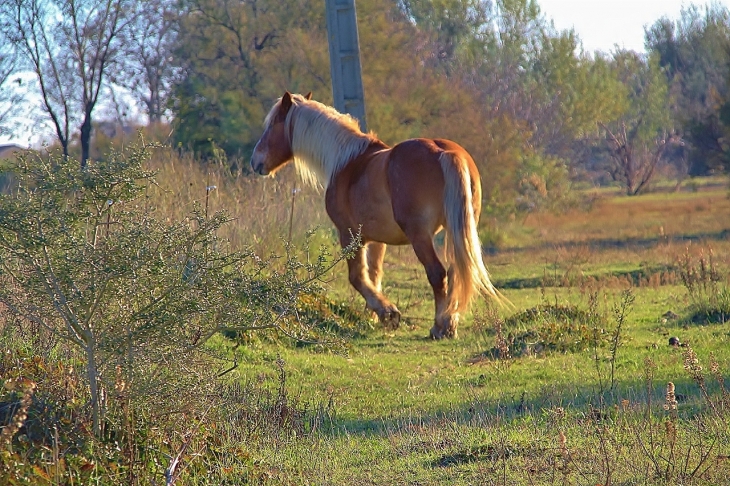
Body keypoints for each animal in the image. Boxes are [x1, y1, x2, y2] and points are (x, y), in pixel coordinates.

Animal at [250, 93, 500, 340]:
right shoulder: (378, 240)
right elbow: (374, 274)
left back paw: (440, 327)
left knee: (438, 273)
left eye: (272, 125)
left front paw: (388, 313)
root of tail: (445, 152)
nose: (255, 161)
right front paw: (375, 316)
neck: (346, 161)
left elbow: (357, 276)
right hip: (455, 230)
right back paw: (450, 322)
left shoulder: (349, 235)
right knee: (456, 271)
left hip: (420, 235)